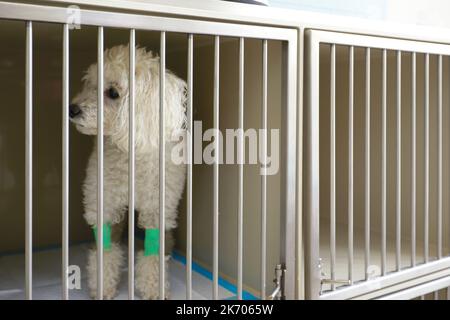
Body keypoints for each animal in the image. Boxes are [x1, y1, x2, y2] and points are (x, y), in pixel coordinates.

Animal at [71, 45, 187, 300]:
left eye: (113, 93)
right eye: (90, 84)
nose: (72, 109)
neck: (130, 153)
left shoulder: (156, 207)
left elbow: (153, 253)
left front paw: (154, 288)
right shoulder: (104, 201)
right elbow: (105, 248)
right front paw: (103, 286)